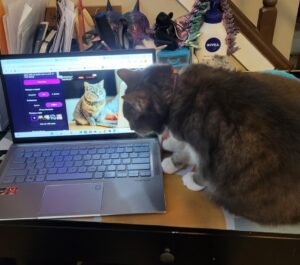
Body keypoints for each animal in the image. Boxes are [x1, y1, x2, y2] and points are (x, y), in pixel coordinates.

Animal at [118, 64, 300, 223]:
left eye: (132, 120)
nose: (131, 129)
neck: (175, 91)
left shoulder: (206, 146)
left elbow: (203, 170)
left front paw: (192, 180)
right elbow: (186, 151)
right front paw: (172, 154)